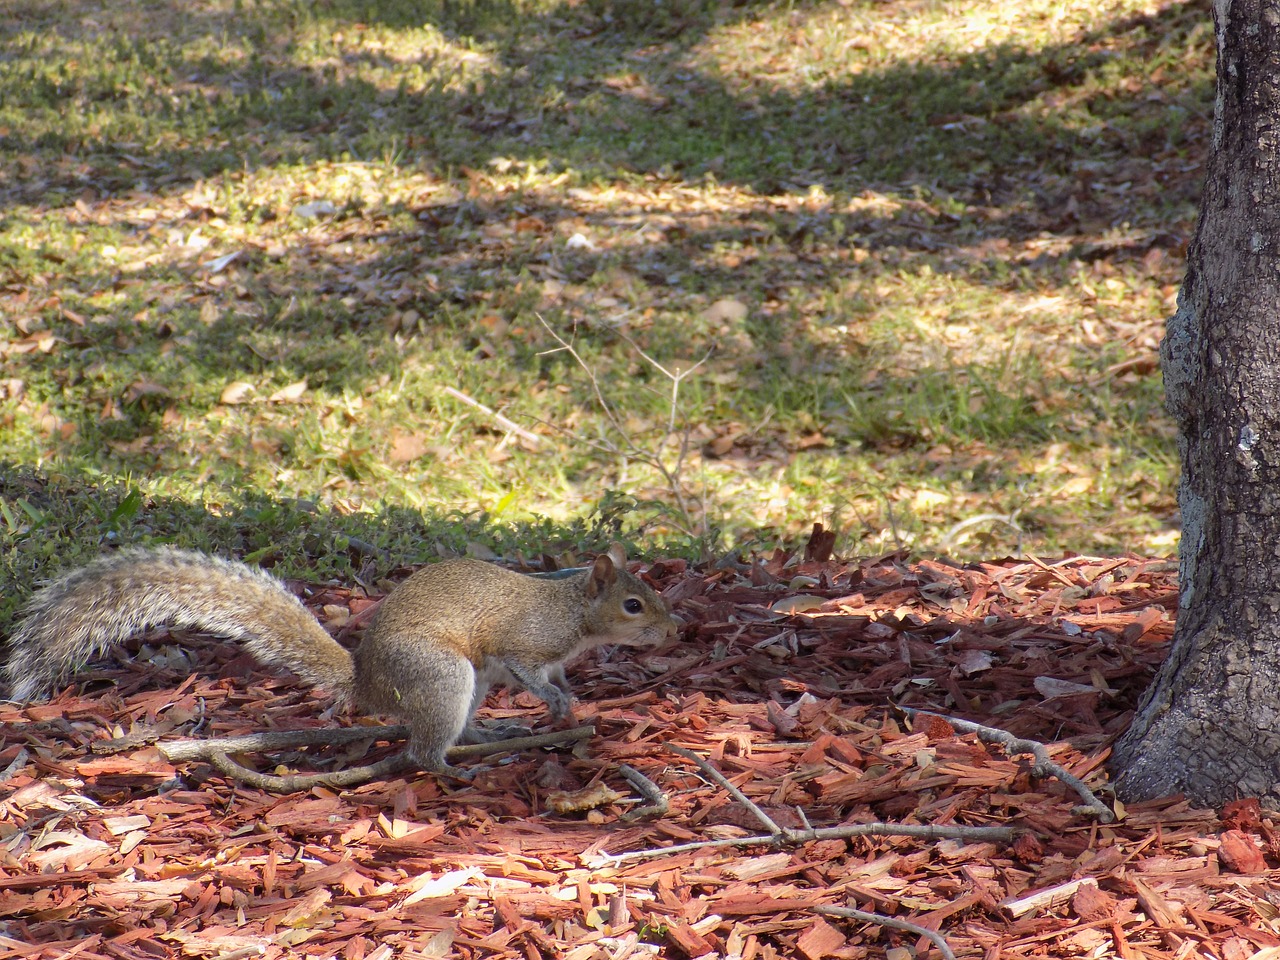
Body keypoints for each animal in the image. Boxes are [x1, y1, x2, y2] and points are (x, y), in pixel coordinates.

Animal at [2, 545, 680, 778]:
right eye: (633, 604)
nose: (676, 629)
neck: (572, 613)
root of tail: (369, 684)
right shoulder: (520, 646)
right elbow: (533, 673)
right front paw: (557, 702)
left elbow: (558, 678)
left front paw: (569, 703)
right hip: (444, 674)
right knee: (424, 750)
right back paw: (457, 767)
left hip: (465, 686)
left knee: (455, 728)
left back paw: (488, 736)